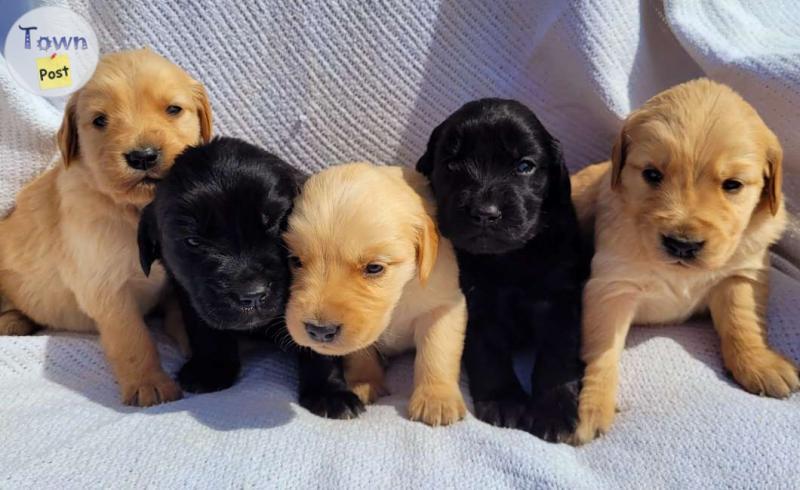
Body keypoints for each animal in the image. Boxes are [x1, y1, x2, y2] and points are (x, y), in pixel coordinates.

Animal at [0, 48, 212, 406]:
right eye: (100, 120)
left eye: (173, 109)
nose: (143, 156)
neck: (137, 211)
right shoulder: (106, 289)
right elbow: (132, 339)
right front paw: (148, 383)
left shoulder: (176, 279)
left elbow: (183, 315)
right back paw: (13, 320)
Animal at [136, 136, 302, 392]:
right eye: (193, 241)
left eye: (277, 222)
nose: (252, 296)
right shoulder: (193, 297)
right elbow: (206, 330)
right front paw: (211, 372)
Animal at [284, 164, 468, 424]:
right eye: (296, 261)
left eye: (374, 268)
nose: (319, 331)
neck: (399, 296)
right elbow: (359, 351)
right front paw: (365, 383)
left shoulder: (443, 306)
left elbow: (437, 351)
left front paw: (436, 398)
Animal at [418, 97, 588, 442]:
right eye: (452, 165)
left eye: (524, 166)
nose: (485, 213)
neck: (508, 257)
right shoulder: (476, 301)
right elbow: (488, 349)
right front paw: (504, 401)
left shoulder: (561, 298)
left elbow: (557, 354)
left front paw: (553, 411)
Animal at [572, 77, 796, 444]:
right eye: (652, 174)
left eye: (732, 185)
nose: (682, 245)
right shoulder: (612, 286)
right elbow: (602, 351)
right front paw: (590, 404)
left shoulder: (741, 275)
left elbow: (741, 322)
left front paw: (758, 363)